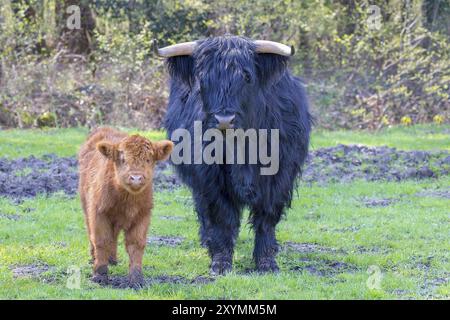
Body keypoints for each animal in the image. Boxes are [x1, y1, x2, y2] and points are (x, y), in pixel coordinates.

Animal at [78, 127, 173, 288]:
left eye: (148, 159)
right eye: (123, 159)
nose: (136, 178)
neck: (127, 201)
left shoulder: (142, 215)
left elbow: (136, 244)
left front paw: (136, 278)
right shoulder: (98, 213)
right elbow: (101, 240)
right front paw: (100, 274)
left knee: (114, 236)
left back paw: (112, 259)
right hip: (86, 206)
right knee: (92, 233)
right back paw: (94, 258)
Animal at [159, 36, 312, 274]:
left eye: (247, 76)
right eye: (203, 78)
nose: (224, 120)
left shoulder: (280, 176)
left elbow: (267, 217)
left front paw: (267, 262)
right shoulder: (210, 178)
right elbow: (222, 218)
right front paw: (220, 262)